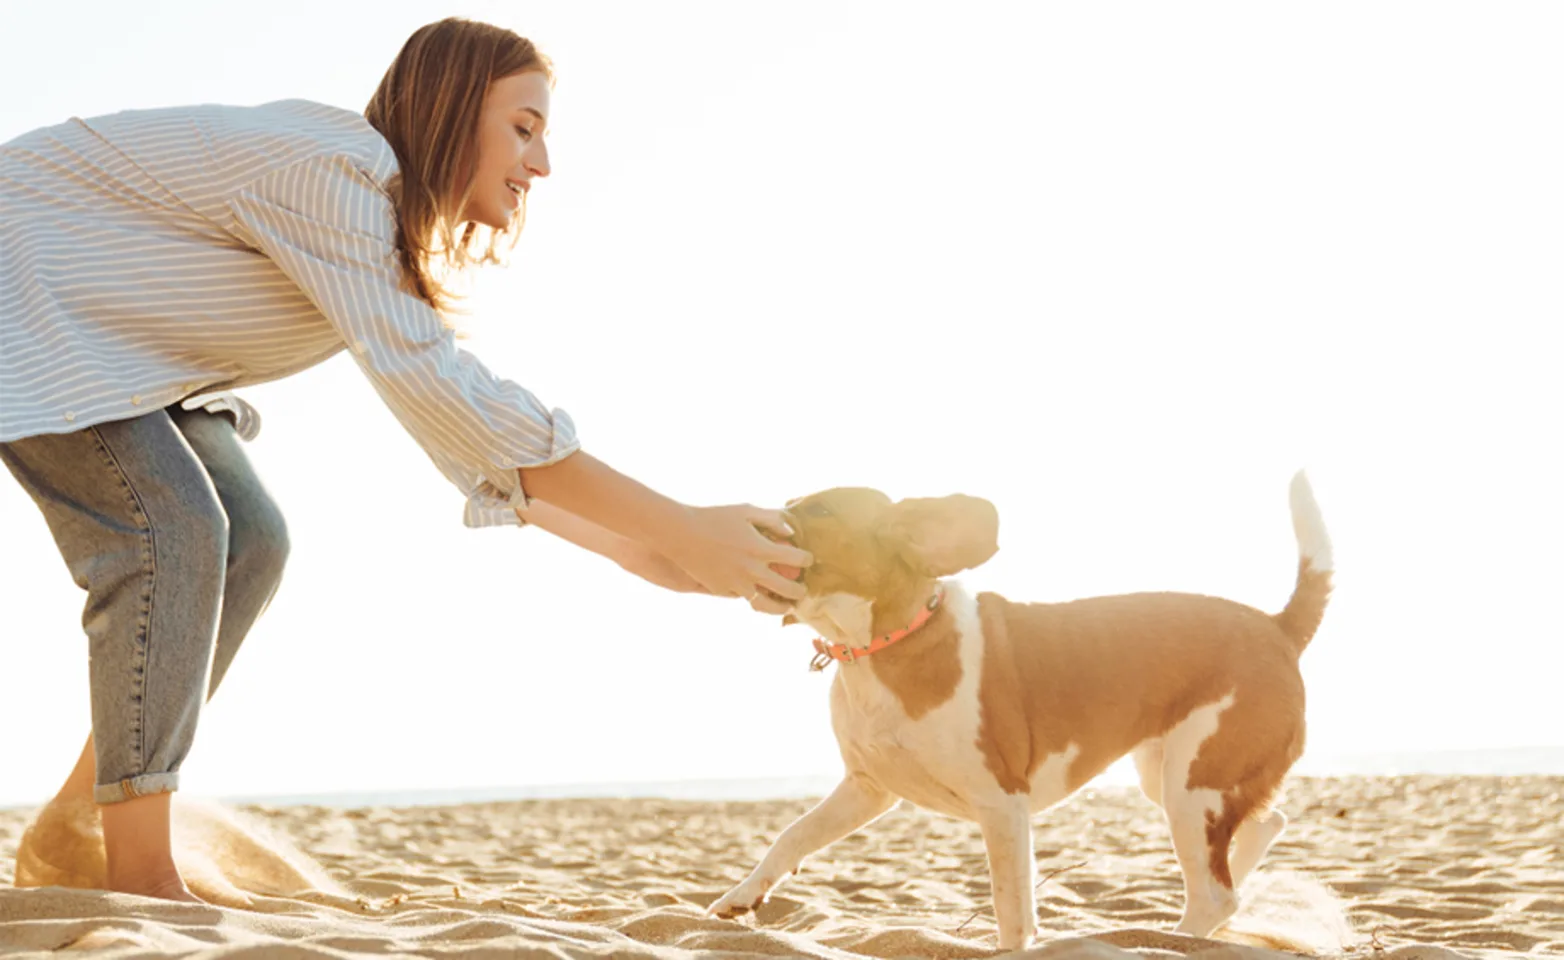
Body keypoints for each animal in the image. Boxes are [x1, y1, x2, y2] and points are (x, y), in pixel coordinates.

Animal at [710, 475, 1332, 950]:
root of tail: (1277, 626)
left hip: (1191, 788)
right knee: (1258, 834)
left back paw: (1174, 939)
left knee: (1215, 893)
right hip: (1172, 779)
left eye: (818, 510)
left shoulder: (1002, 804)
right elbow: (791, 836)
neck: (883, 645)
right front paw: (741, 896)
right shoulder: (868, 788)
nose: (741, 524)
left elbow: (1010, 908)